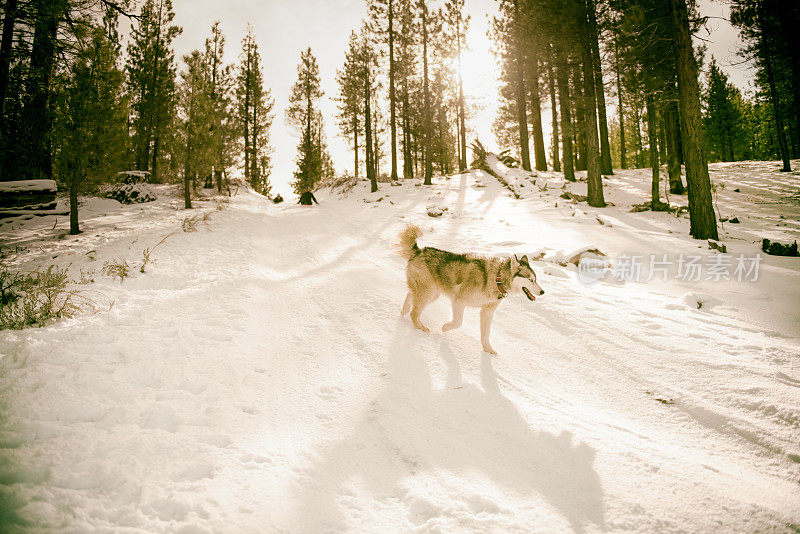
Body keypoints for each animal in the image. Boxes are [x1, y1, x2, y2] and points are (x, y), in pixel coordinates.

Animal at [398, 224, 544, 354]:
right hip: (428, 292)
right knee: (414, 312)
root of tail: (419, 251)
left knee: (410, 295)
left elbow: (485, 335)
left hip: (432, 293)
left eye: (536, 279)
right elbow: (458, 322)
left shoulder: (487, 312)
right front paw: (445, 327)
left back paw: (404, 311)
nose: (542, 292)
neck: (496, 278)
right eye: (531, 280)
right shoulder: (458, 301)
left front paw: (488, 350)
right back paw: (420, 327)